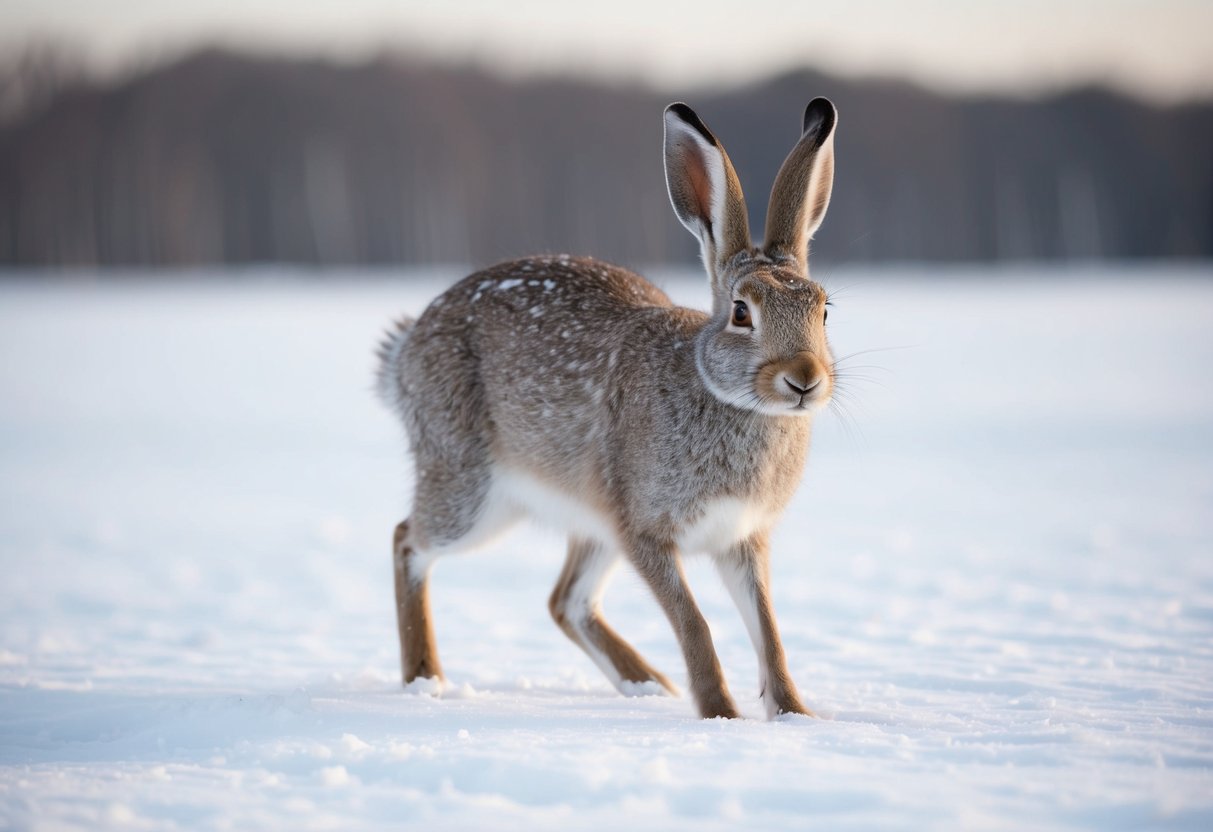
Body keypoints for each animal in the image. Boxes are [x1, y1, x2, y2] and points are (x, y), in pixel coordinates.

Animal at [377, 98, 838, 719]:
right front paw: (721, 714)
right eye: (743, 312)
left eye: (824, 310)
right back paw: (425, 678)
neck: (720, 394)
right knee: (408, 542)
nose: (805, 380)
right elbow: (695, 624)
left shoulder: (740, 539)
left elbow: (768, 629)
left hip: (589, 520)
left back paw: (649, 685)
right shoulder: (644, 531)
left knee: (566, 601)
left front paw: (794, 716)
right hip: (471, 491)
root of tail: (407, 348)